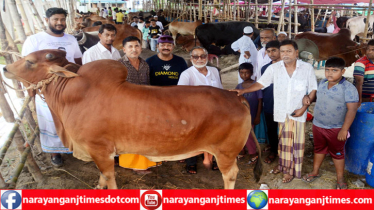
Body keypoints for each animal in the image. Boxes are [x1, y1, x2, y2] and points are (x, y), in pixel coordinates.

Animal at [2, 50, 262, 189]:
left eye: (30, 62)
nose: (5, 68)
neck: (69, 95)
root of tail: (236, 96)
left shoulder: (100, 149)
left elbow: (108, 176)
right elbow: (102, 176)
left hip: (226, 152)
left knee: (230, 174)